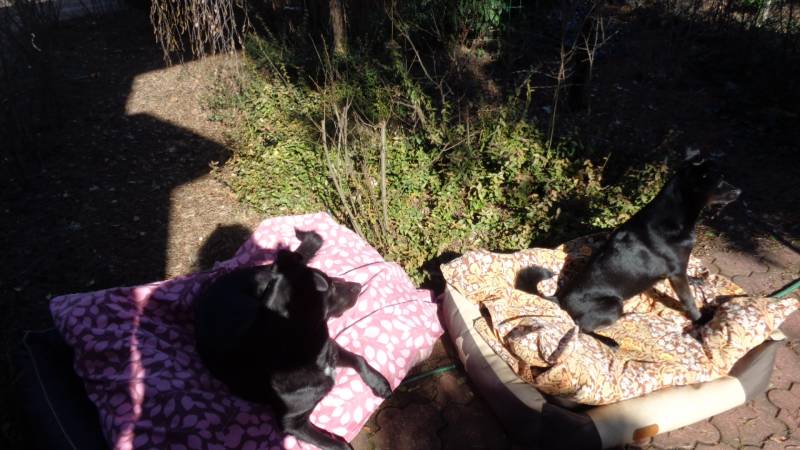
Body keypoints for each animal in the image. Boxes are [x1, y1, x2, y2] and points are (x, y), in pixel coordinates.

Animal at [194, 229, 391, 450]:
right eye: (330, 286)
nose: (358, 286)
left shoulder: (330, 348)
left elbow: (359, 359)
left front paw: (379, 383)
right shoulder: (292, 423)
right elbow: (339, 445)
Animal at [522, 155, 741, 347]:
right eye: (719, 182)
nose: (739, 192)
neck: (673, 216)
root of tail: (559, 297)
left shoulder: (680, 269)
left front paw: (698, 281)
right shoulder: (677, 273)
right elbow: (689, 300)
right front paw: (701, 321)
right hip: (613, 305)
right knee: (580, 328)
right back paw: (609, 341)